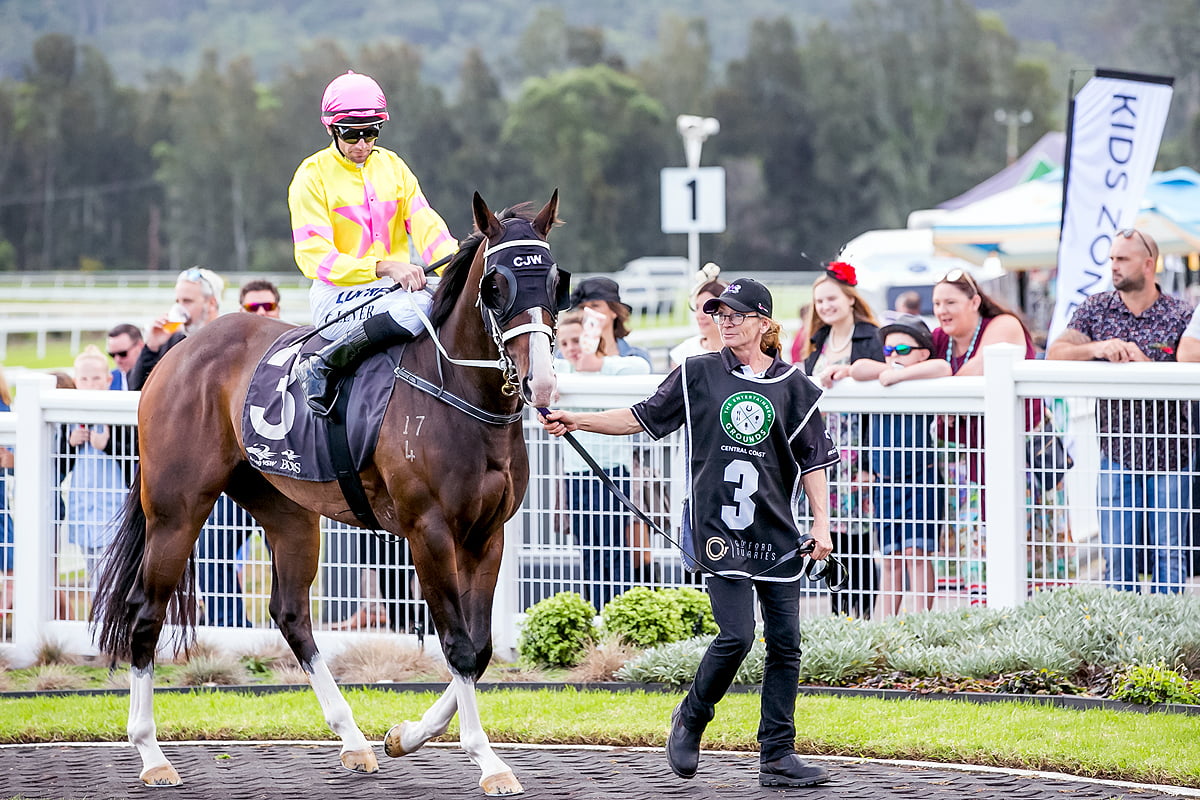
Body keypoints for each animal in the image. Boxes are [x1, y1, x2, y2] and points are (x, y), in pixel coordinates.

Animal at [93, 189, 561, 796]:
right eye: (496, 285)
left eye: (554, 280)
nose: (540, 382)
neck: (457, 393)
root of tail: (179, 350)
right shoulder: (428, 532)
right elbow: (457, 645)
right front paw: (488, 761)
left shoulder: (488, 534)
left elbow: (478, 650)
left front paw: (406, 735)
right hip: (176, 510)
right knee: (145, 611)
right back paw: (151, 754)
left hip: (288, 512)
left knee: (291, 613)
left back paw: (353, 740)